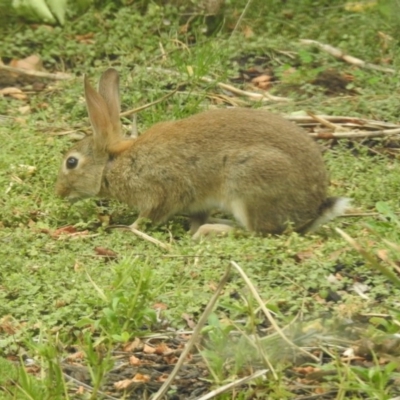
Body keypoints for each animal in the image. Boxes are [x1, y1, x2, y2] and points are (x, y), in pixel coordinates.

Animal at [54, 68, 348, 238]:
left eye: (72, 162)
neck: (116, 162)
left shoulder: (158, 192)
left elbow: (150, 216)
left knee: (254, 233)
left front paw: (132, 229)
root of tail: (310, 212)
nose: (59, 193)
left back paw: (211, 231)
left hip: (248, 184)